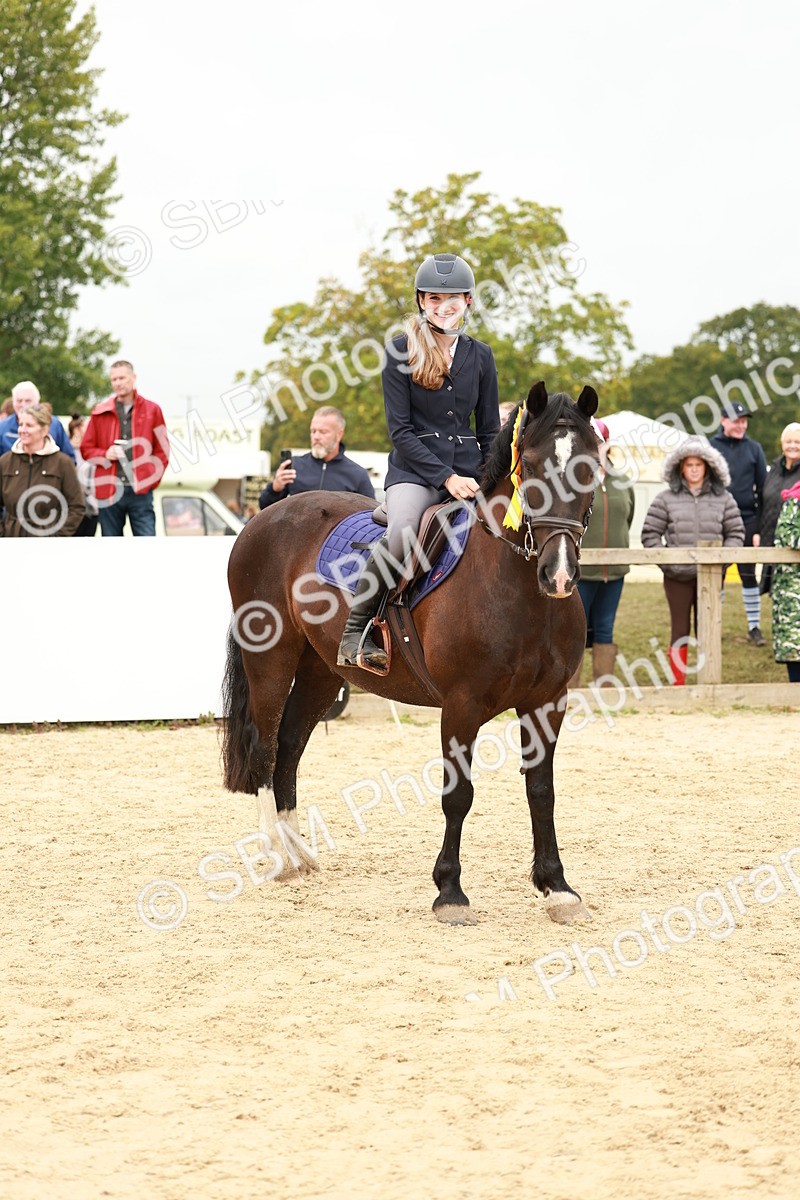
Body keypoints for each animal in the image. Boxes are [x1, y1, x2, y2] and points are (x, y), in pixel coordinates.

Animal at [221, 381, 600, 926]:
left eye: (591, 465)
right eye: (528, 464)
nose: (560, 574)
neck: (516, 588)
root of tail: (261, 517)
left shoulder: (548, 703)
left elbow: (541, 791)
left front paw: (557, 888)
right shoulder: (461, 705)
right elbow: (458, 795)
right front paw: (451, 892)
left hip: (321, 672)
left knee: (290, 746)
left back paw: (299, 852)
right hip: (270, 662)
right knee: (265, 747)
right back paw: (278, 856)